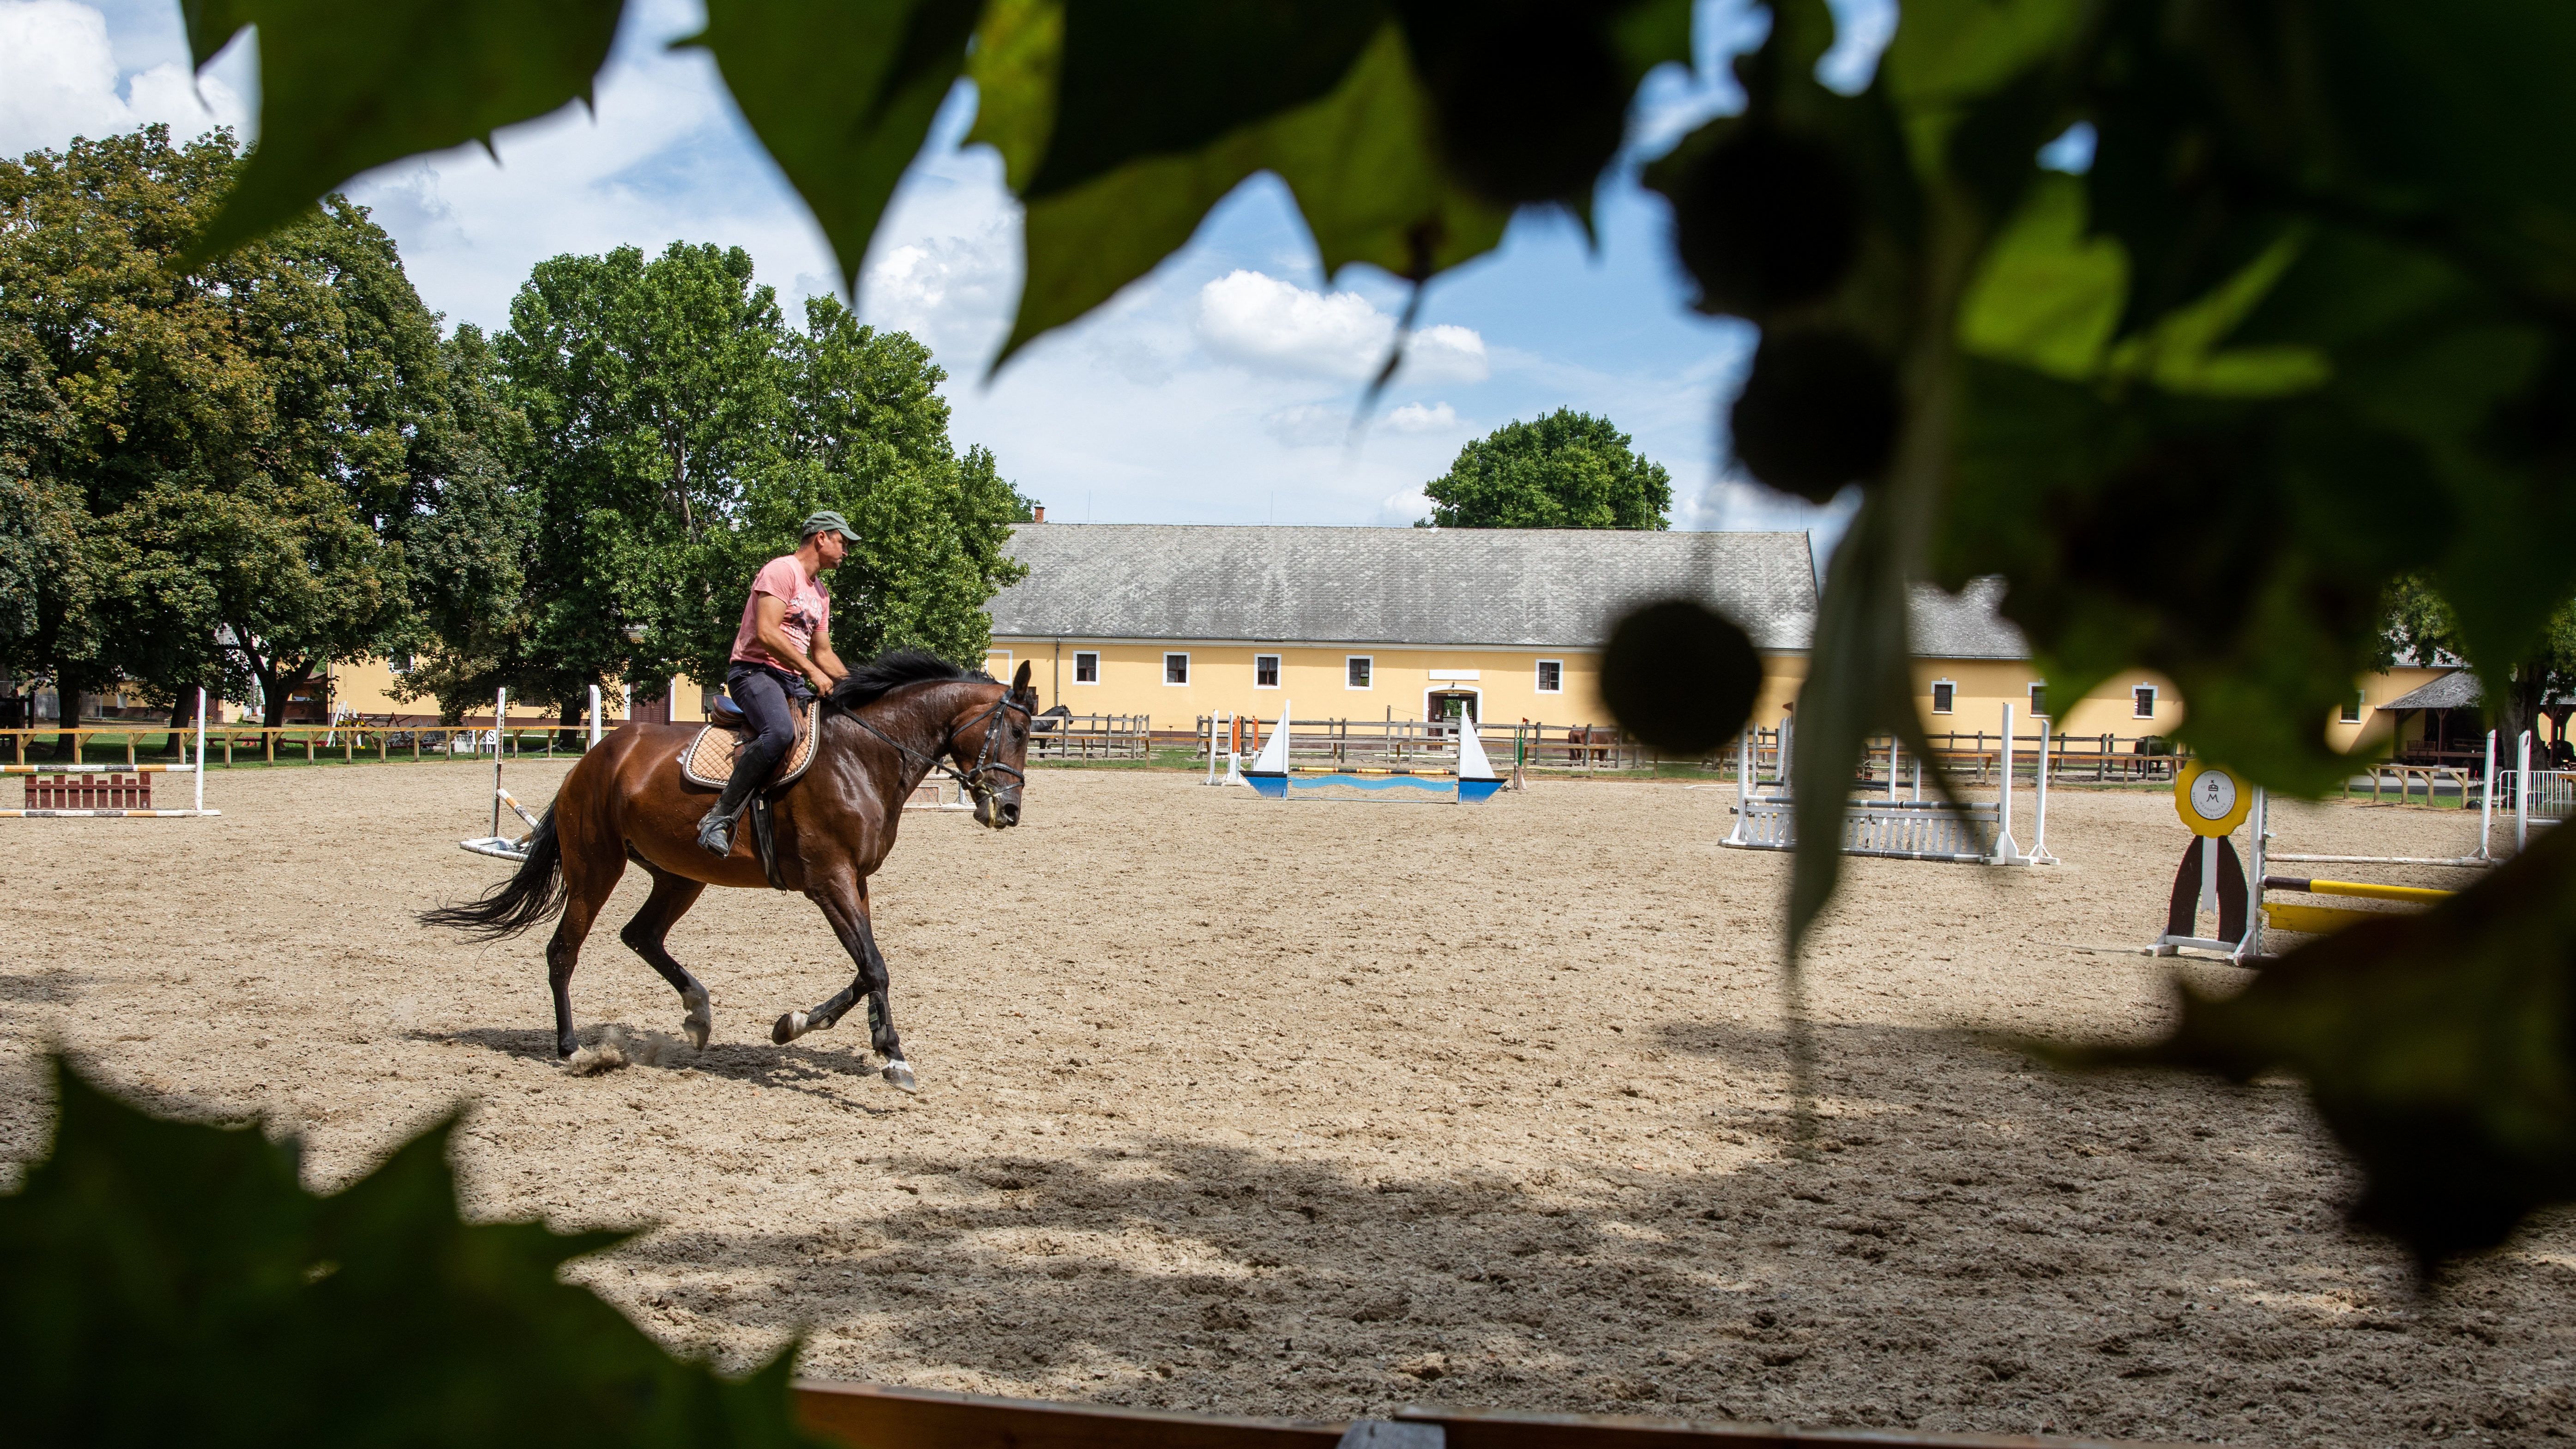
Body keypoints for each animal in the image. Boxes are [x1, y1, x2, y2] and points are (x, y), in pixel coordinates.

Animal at [417, 652, 1030, 1083]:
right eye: (1019, 732)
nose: (1010, 811)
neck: (862, 754)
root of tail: (592, 760)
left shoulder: (853, 881)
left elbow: (866, 967)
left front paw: (796, 1024)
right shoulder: (829, 880)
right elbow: (875, 967)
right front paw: (893, 1057)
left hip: (680, 874)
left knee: (640, 935)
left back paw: (698, 1013)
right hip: (596, 866)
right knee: (564, 950)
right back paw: (572, 1049)